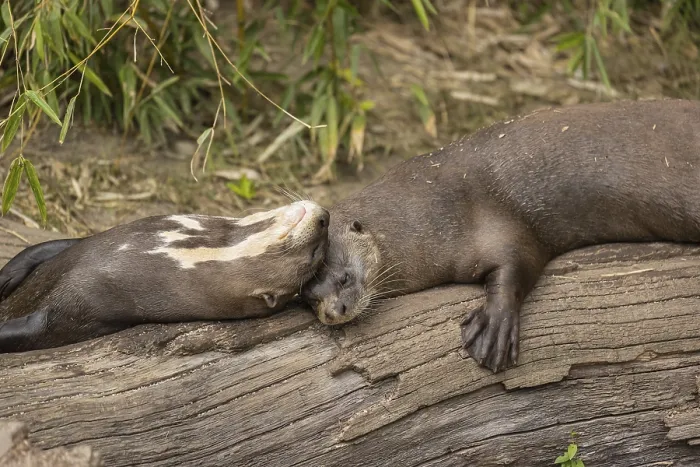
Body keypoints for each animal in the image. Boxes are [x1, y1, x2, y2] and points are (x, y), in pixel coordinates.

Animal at [0, 200, 329, 352]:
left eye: (314, 254)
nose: (325, 217)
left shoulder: (79, 311)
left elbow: (37, 330)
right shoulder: (92, 242)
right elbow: (43, 247)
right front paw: (6, 276)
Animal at [302, 99, 700, 373]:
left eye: (345, 277)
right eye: (311, 297)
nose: (333, 312)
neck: (431, 209)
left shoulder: (499, 223)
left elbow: (519, 262)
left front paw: (493, 328)